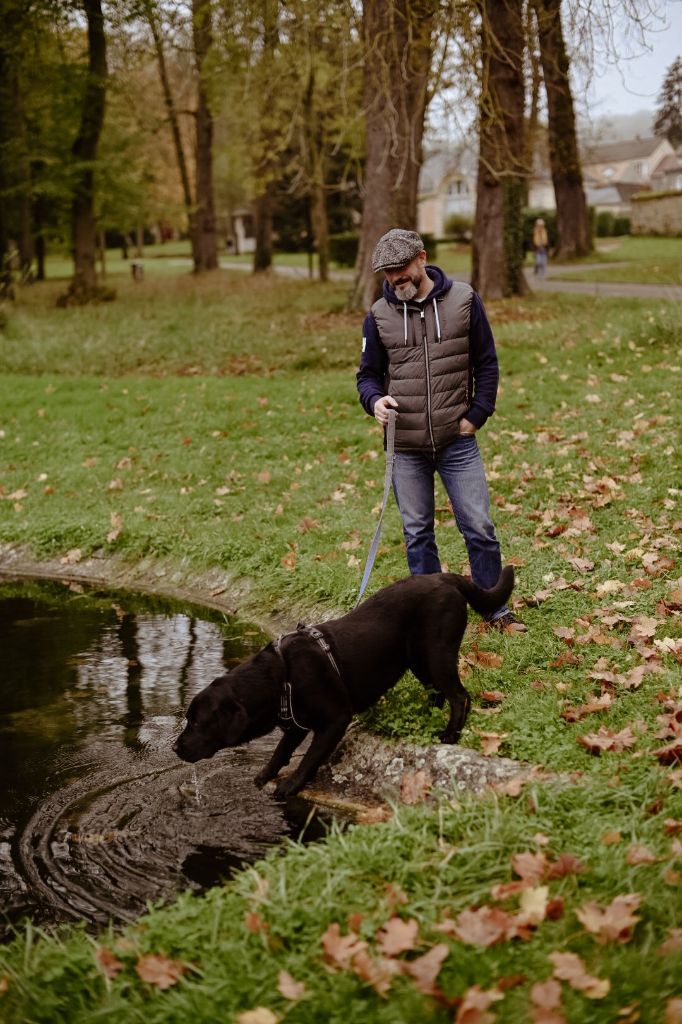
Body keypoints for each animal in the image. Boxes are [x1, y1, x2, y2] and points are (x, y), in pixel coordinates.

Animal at [173, 569, 512, 798]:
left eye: (196, 722)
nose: (175, 747)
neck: (281, 677)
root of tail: (444, 577)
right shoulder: (295, 725)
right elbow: (280, 751)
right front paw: (263, 775)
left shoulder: (335, 720)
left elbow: (310, 757)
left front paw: (290, 785)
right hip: (419, 660)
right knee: (438, 693)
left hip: (437, 653)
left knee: (459, 695)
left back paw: (449, 735)